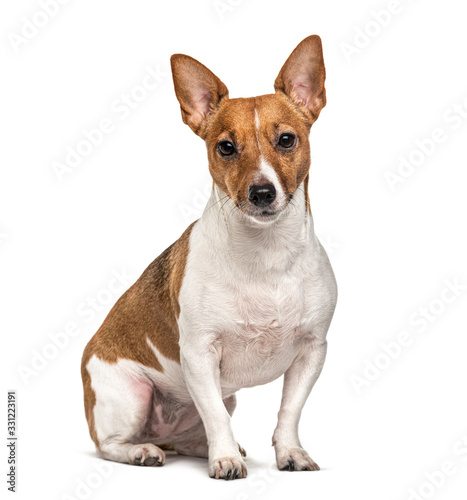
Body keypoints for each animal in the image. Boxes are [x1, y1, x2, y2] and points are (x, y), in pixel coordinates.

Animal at [80, 35, 336, 480]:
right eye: (226, 148)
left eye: (287, 140)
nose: (261, 192)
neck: (266, 252)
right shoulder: (200, 355)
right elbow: (215, 414)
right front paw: (226, 461)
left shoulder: (311, 351)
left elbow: (289, 411)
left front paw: (290, 453)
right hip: (131, 395)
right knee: (111, 444)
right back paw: (144, 451)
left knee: (192, 434)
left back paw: (210, 446)